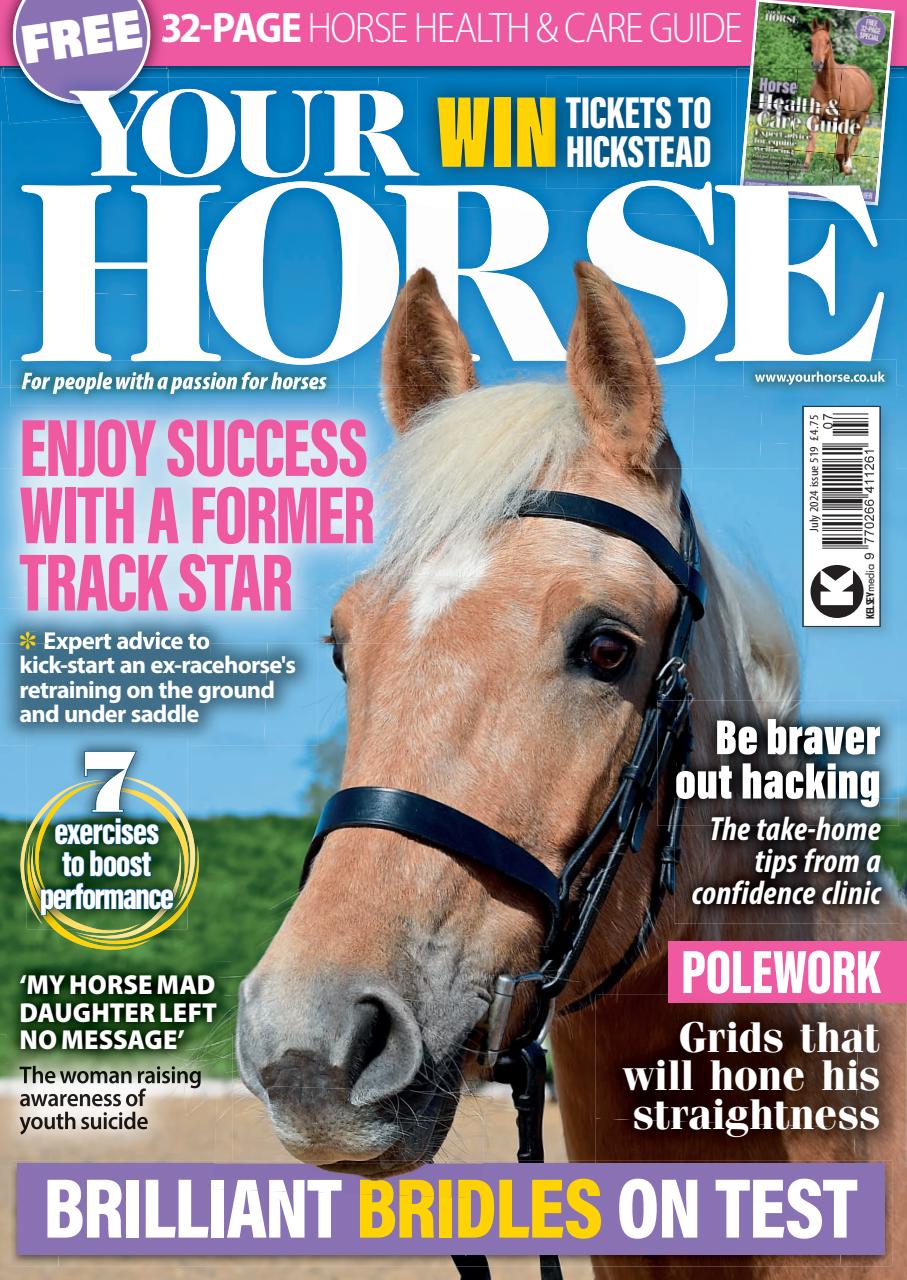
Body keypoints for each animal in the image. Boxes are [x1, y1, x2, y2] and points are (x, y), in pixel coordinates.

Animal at [804, 17, 874, 176]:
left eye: (828, 41)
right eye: (811, 41)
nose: (817, 64)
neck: (829, 88)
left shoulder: (843, 120)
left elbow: (839, 152)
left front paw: (844, 170)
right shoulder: (816, 116)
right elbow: (811, 145)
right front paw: (804, 169)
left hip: (861, 118)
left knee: (854, 141)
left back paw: (848, 167)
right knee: (847, 142)